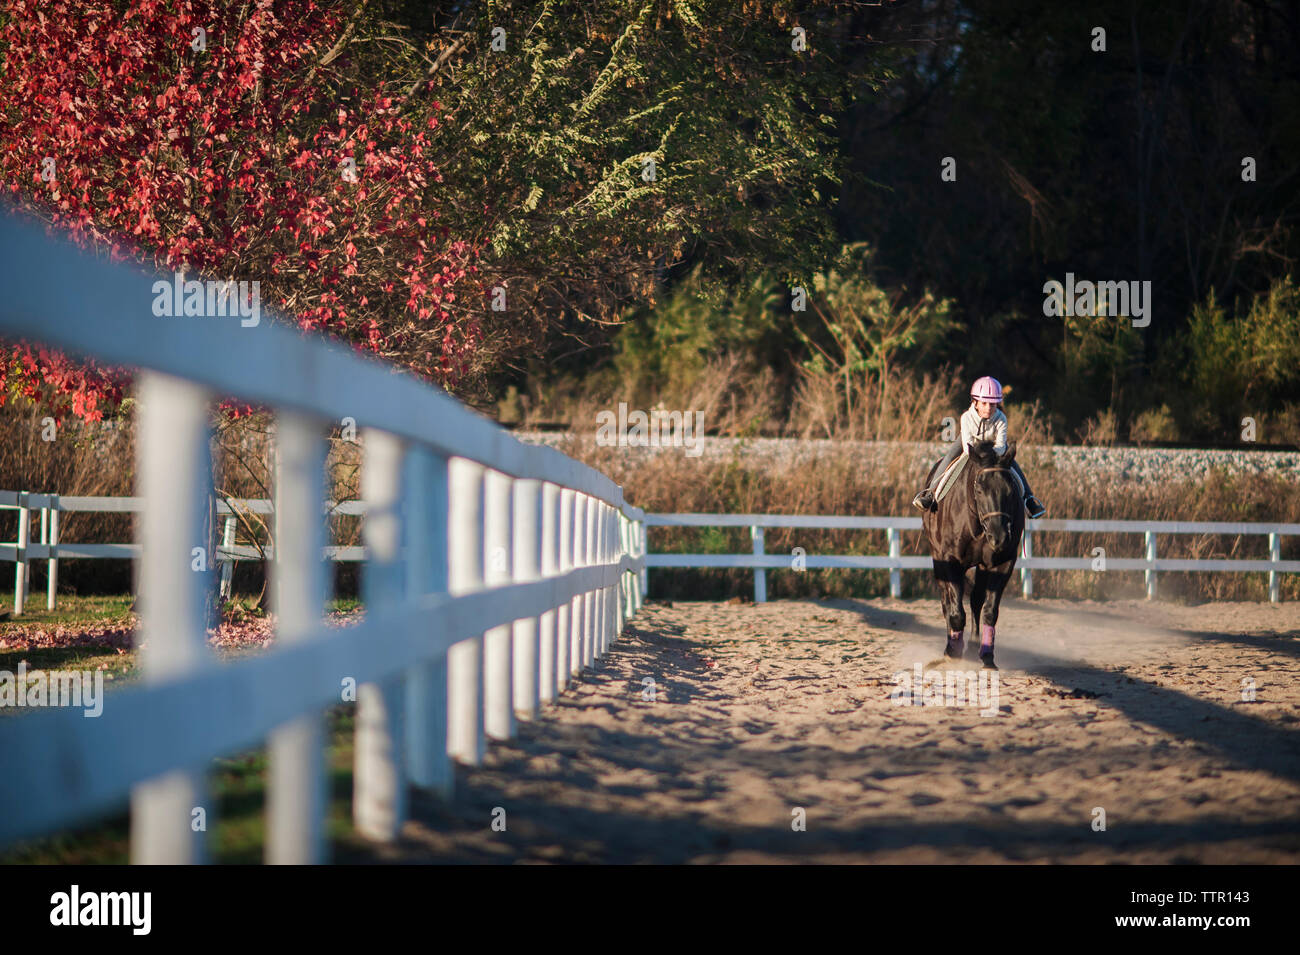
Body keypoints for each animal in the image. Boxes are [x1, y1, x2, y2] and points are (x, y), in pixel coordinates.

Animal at [915, 439, 1024, 670]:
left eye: (1010, 490)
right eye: (979, 489)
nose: (1000, 537)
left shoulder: (1003, 563)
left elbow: (990, 611)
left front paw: (987, 656)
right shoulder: (949, 561)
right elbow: (956, 612)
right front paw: (952, 652)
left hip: (982, 566)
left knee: (976, 600)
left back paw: (974, 649)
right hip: (938, 560)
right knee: (947, 603)